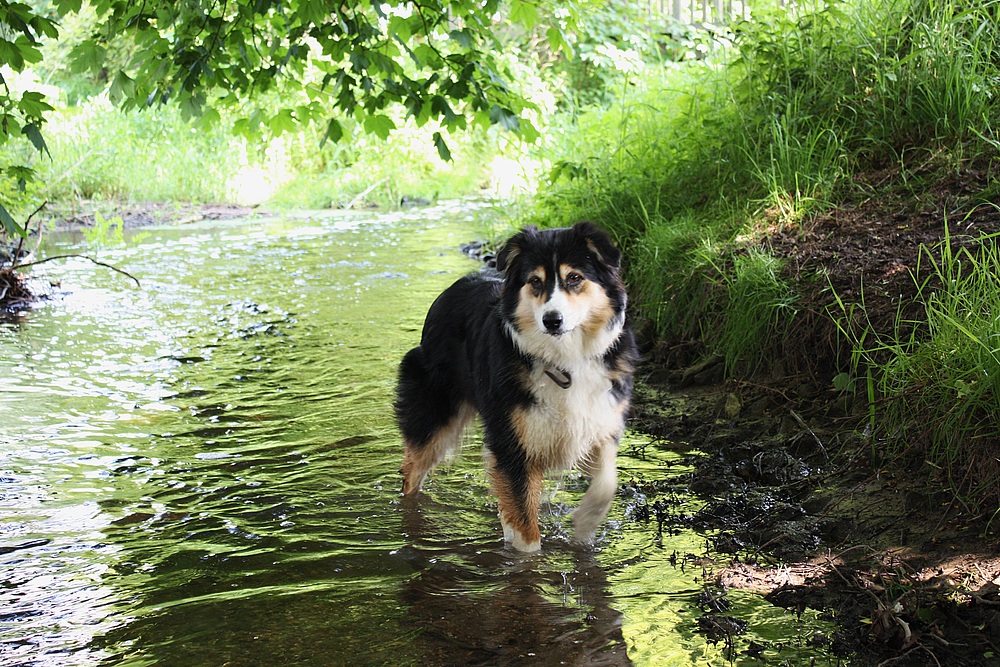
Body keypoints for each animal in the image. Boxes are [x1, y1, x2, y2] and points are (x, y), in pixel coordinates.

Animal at [394, 222, 636, 552]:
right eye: (535, 281)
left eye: (574, 277)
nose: (552, 320)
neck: (564, 359)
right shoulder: (511, 443)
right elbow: (524, 526)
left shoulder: (601, 419)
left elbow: (606, 483)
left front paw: (584, 524)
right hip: (432, 414)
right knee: (412, 471)